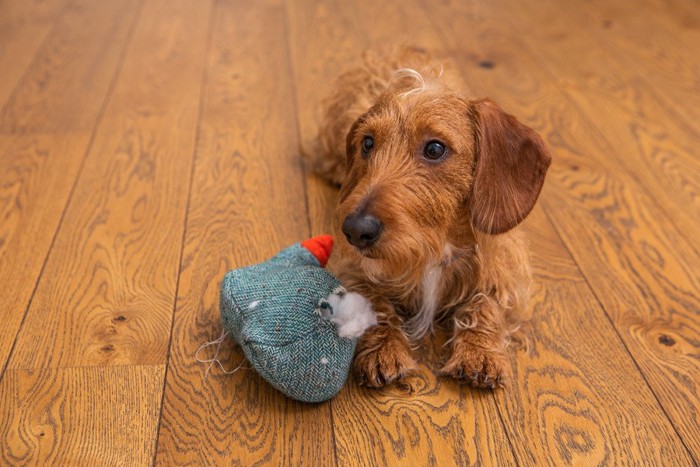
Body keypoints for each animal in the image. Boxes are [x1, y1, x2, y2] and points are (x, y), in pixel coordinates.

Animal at [306, 48, 552, 392]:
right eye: (367, 143)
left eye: (435, 148)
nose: (355, 230)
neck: (435, 243)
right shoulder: (352, 268)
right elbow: (374, 303)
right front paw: (384, 349)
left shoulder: (506, 272)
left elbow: (485, 304)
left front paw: (479, 353)